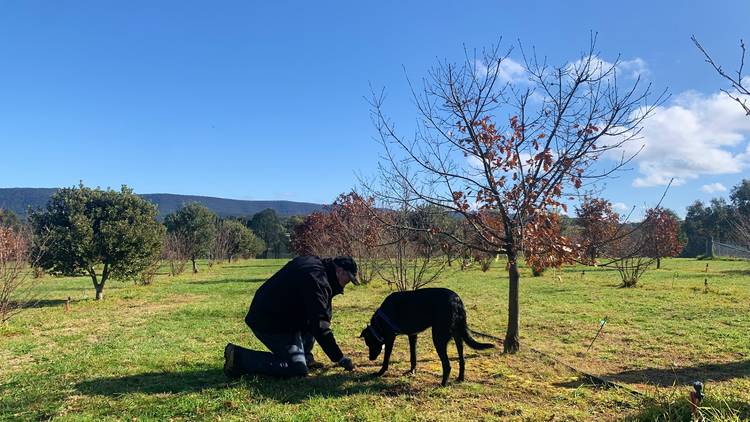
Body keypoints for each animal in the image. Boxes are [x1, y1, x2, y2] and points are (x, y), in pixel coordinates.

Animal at [362, 286, 496, 386]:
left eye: (370, 344)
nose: (370, 358)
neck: (380, 321)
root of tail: (457, 300)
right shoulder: (413, 335)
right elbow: (413, 357)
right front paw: (412, 371)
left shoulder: (390, 338)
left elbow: (386, 359)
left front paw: (380, 373)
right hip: (458, 337)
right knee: (462, 360)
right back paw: (460, 378)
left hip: (438, 338)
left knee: (447, 365)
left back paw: (442, 384)